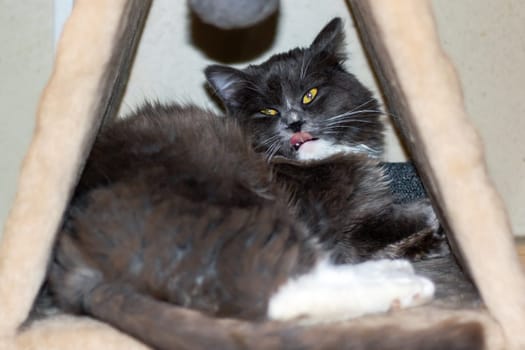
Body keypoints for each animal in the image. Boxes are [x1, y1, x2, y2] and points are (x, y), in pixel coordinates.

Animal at [45, 18, 478, 350]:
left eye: (310, 94)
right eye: (268, 111)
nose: (294, 122)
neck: (317, 161)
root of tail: (74, 260)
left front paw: (429, 240)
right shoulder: (343, 224)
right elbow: (401, 214)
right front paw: (432, 218)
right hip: (236, 206)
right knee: (277, 287)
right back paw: (402, 284)